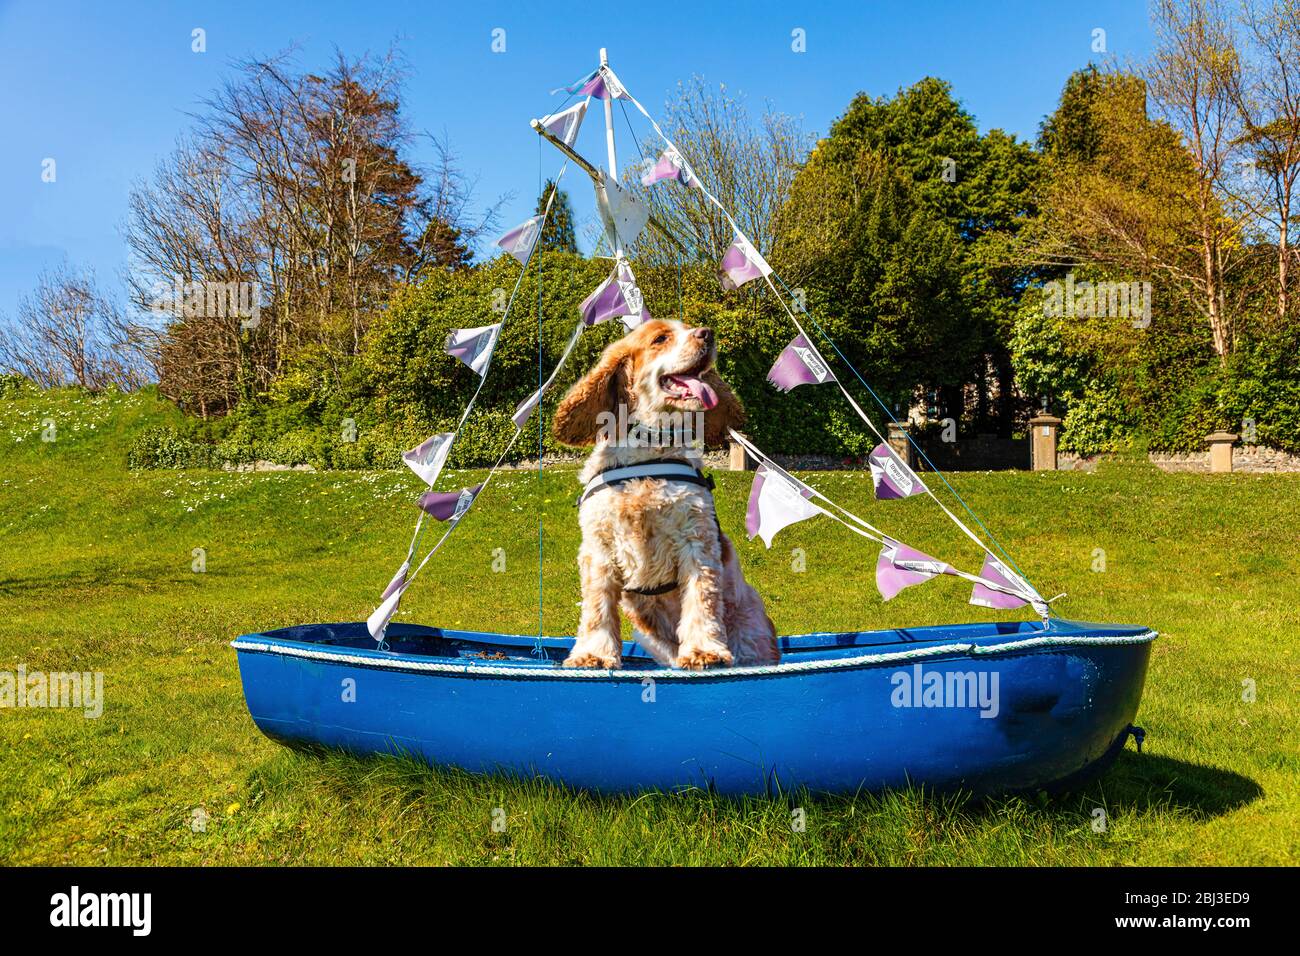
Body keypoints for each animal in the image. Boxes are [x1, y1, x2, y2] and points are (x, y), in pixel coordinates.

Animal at [551, 317, 774, 671]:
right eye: (660, 339)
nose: (707, 334)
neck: (649, 452)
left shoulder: (697, 540)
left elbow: (702, 597)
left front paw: (704, 651)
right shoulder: (598, 547)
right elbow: (597, 607)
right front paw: (593, 654)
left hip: (753, 625)